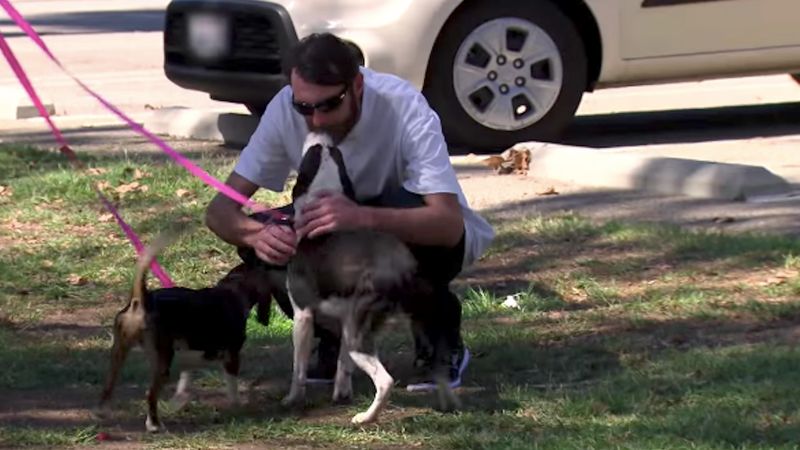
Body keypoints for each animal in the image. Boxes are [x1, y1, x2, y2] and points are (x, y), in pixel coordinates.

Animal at [97, 232, 276, 432]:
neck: (233, 289)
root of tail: (141, 301)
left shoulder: (190, 353)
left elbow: (186, 378)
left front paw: (179, 400)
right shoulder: (231, 356)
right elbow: (232, 387)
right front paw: (237, 406)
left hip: (119, 353)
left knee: (109, 385)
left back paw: (103, 412)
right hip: (163, 361)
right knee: (150, 394)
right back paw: (154, 425)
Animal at [280, 133, 456, 426]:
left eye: (313, 151)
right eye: (331, 152)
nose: (321, 133)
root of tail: (406, 271)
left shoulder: (303, 315)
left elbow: (298, 369)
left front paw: (292, 399)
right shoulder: (343, 320)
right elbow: (342, 367)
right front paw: (341, 395)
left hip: (358, 336)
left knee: (385, 381)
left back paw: (365, 418)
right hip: (415, 325)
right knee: (440, 370)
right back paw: (446, 406)